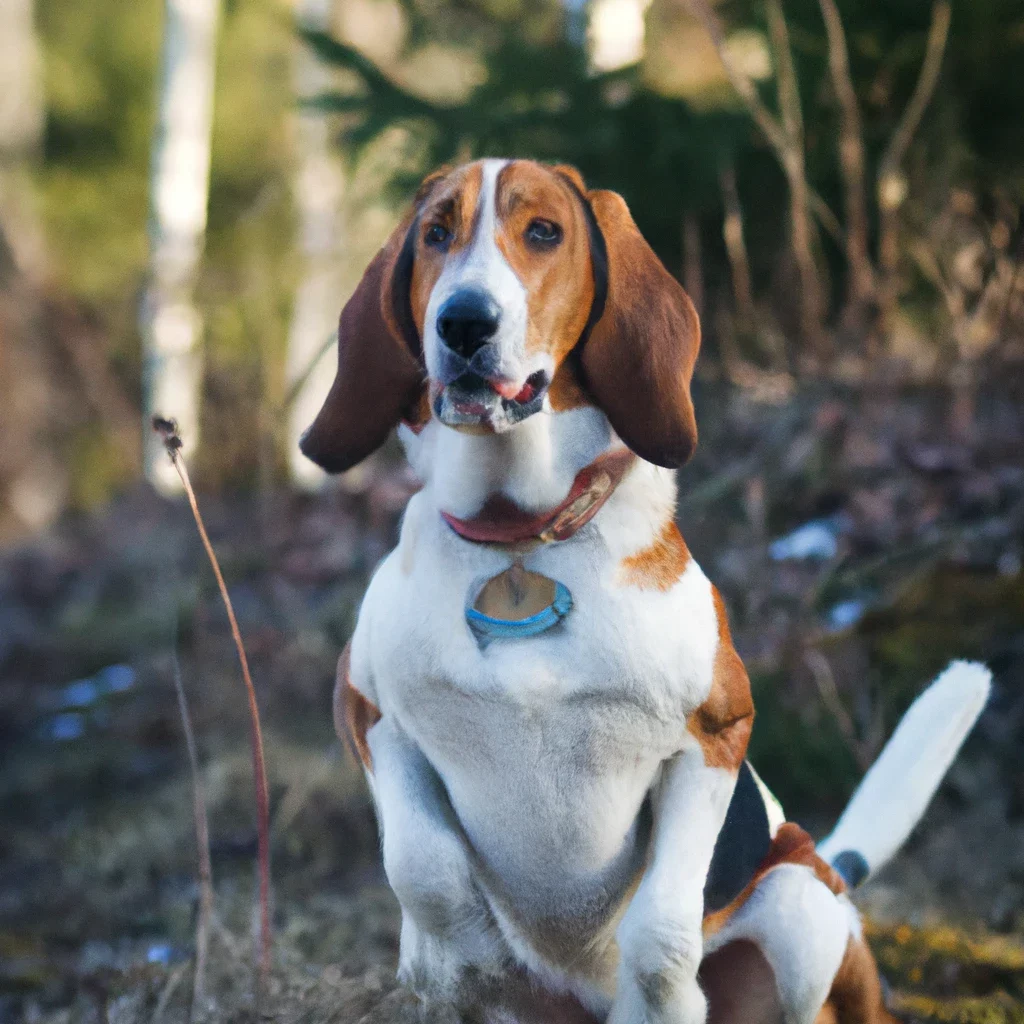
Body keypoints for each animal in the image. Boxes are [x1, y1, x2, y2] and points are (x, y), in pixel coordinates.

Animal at [301, 159, 991, 1024]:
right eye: (435, 233)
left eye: (544, 232)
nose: (463, 323)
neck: (520, 538)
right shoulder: (368, 712)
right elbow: (423, 869)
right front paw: (458, 957)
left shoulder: (714, 734)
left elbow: (660, 941)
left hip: (799, 900)